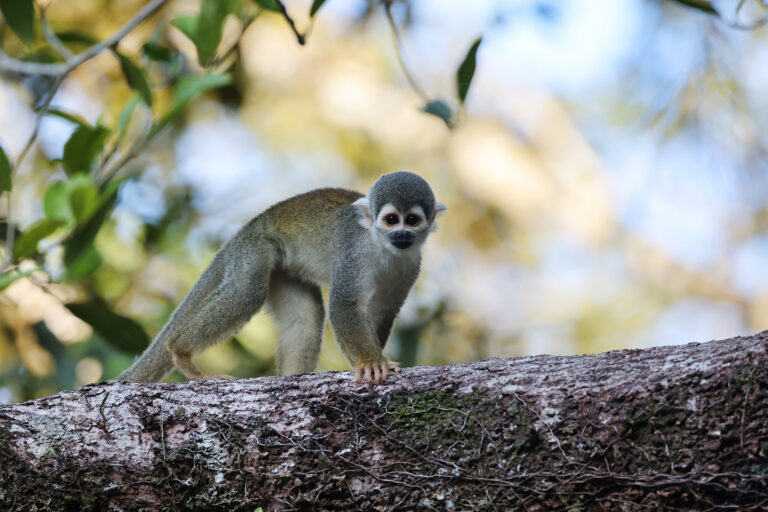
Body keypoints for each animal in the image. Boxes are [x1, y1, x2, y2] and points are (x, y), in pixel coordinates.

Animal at [118, 172, 444, 384]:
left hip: (284, 270)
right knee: (246, 291)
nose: (401, 234)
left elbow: (383, 309)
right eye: (391, 220)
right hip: (256, 249)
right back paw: (180, 352)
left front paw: (374, 358)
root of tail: (246, 229)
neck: (382, 247)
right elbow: (345, 306)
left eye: (411, 220)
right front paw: (370, 362)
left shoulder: (411, 265)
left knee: (305, 316)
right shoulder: (354, 254)